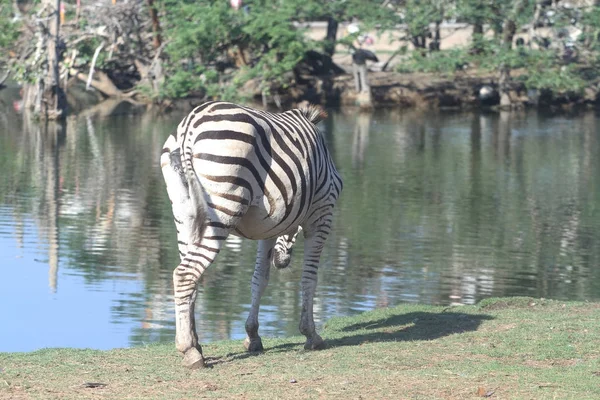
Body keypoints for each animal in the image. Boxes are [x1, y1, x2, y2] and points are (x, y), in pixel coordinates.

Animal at [159, 101, 342, 368]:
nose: (282, 262)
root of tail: (189, 127)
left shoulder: (269, 228)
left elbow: (259, 280)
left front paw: (253, 336)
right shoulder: (322, 215)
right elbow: (309, 279)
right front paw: (311, 335)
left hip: (184, 215)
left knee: (189, 278)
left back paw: (196, 344)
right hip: (221, 210)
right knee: (185, 274)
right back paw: (190, 352)